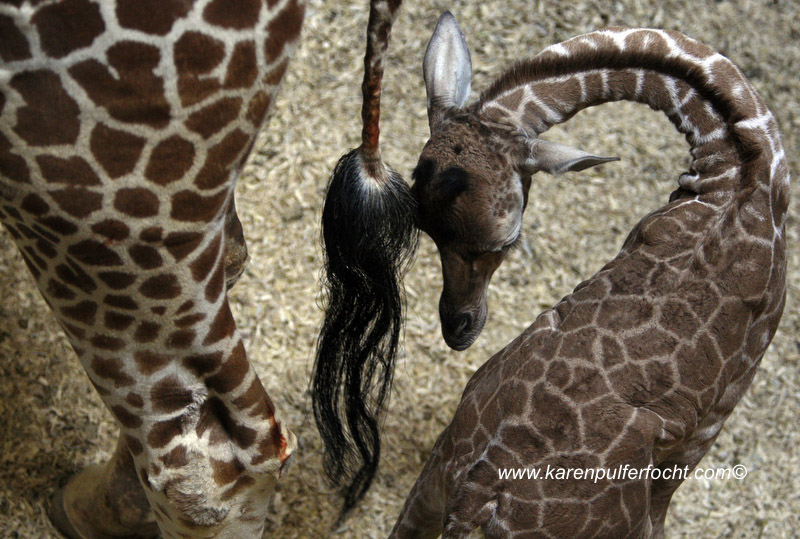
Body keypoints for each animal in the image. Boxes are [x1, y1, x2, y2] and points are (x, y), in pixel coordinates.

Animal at [392, 12, 788, 539]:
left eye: (505, 241)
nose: (459, 327)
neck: (743, 165)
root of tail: (476, 500)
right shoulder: (712, 419)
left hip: (433, 479)